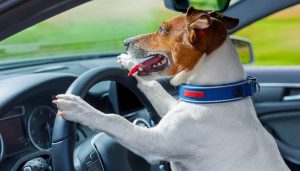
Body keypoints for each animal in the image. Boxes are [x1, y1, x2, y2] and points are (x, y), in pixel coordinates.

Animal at [54, 7, 290, 171]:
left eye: (161, 29)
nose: (125, 42)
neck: (214, 95)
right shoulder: (172, 108)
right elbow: (154, 86)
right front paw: (129, 63)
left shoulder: (154, 142)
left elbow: (116, 120)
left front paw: (79, 108)